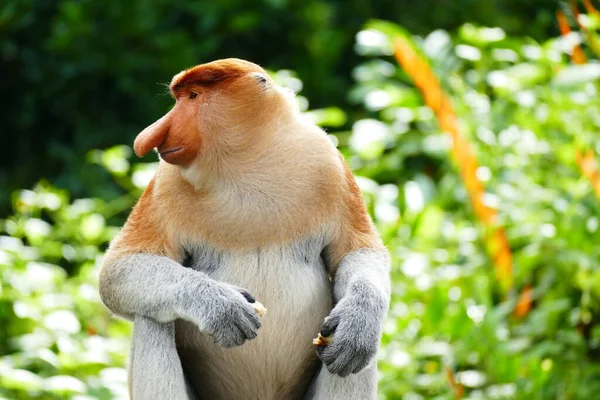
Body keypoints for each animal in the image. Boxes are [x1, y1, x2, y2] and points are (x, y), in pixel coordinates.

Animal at [99, 59, 390, 400]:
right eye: (180, 97)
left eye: (193, 96)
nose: (147, 137)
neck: (246, 163)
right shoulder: (165, 186)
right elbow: (119, 269)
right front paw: (222, 308)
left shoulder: (328, 164)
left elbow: (357, 252)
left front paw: (358, 323)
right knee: (151, 321)